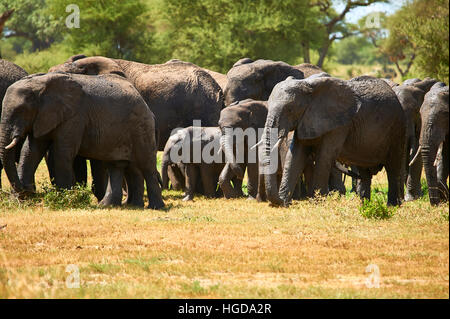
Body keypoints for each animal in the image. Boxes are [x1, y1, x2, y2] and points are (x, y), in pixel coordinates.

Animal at [0, 72, 165, 210]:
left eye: (21, 110)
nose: (27, 190)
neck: (41, 84)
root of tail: (146, 105)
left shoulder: (75, 116)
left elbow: (62, 152)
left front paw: (65, 200)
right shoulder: (43, 116)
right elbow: (31, 151)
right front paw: (18, 201)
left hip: (141, 127)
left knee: (146, 165)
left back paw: (155, 208)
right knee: (117, 165)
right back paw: (111, 206)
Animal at [262, 76, 406, 209]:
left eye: (290, 109)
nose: (279, 201)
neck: (308, 86)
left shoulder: (340, 124)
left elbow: (324, 156)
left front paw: (318, 203)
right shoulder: (306, 120)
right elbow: (295, 157)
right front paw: (284, 203)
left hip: (397, 129)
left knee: (393, 168)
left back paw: (392, 206)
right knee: (364, 172)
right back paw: (365, 205)